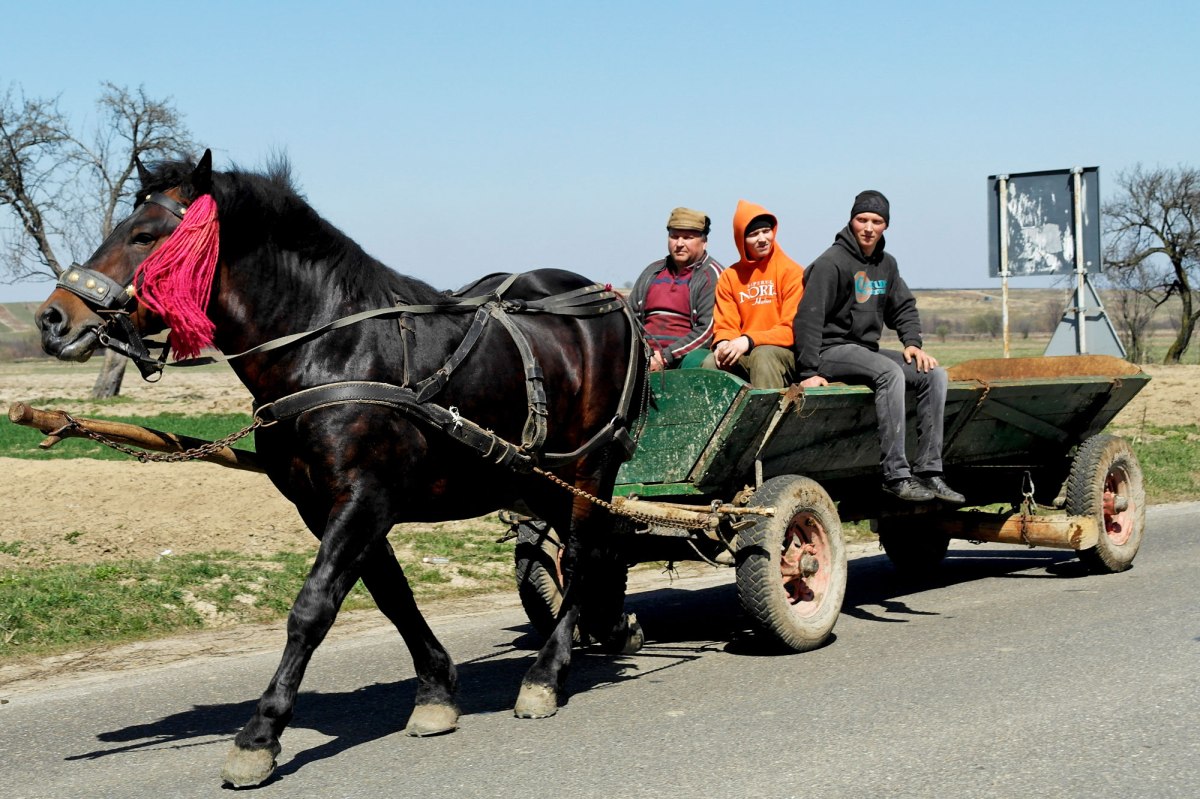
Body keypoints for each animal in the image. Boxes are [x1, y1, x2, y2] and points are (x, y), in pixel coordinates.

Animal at [35, 150, 648, 787]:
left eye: (145, 235)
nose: (53, 319)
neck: (329, 351)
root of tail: (611, 303)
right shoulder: (326, 506)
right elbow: (392, 595)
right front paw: (435, 691)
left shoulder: (363, 500)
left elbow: (311, 609)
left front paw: (260, 734)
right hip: (538, 476)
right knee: (596, 549)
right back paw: (608, 628)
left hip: (590, 466)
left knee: (581, 555)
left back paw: (546, 675)